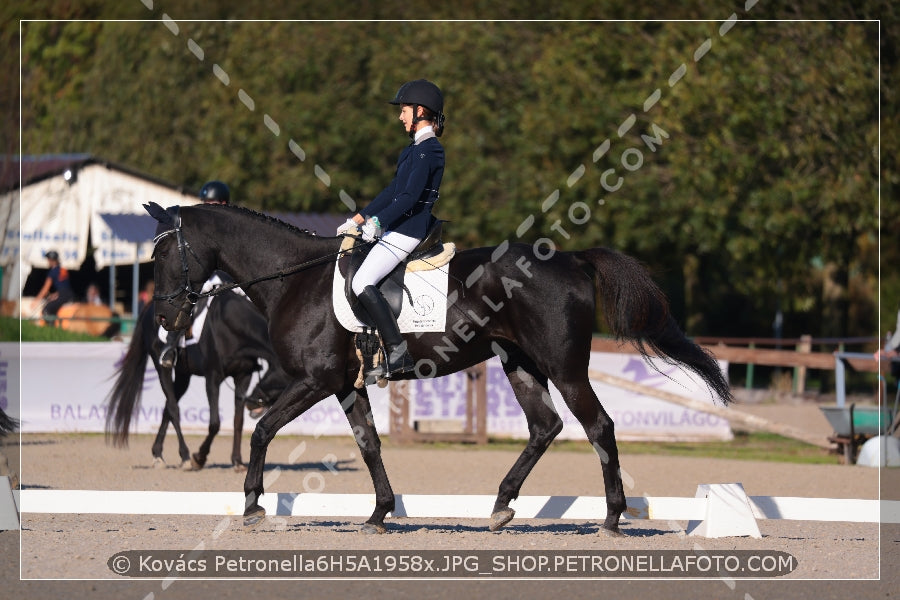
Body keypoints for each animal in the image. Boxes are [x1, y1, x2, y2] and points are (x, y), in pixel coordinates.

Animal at [105, 290, 290, 468]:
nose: (252, 402)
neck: (233, 328)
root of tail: (151, 306)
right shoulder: (212, 378)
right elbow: (214, 423)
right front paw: (199, 458)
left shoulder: (243, 376)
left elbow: (238, 421)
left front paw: (237, 461)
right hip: (162, 367)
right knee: (173, 408)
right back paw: (185, 455)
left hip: (183, 375)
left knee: (168, 407)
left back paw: (158, 454)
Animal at [144, 203, 728, 536]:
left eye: (164, 255)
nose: (165, 318)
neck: (295, 278)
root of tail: (571, 259)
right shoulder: (346, 386)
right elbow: (369, 444)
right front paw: (380, 513)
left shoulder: (316, 381)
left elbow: (264, 430)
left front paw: (252, 505)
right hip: (520, 363)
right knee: (546, 426)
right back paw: (500, 507)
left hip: (565, 368)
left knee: (598, 427)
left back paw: (610, 518)